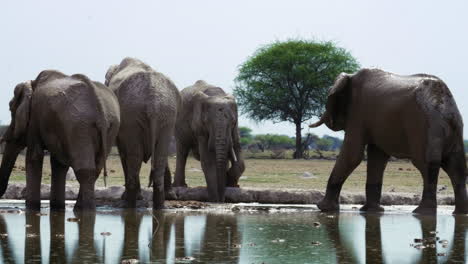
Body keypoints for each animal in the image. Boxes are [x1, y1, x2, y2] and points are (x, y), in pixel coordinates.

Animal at [0, 70, 120, 210]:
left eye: (10, 109)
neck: (31, 84)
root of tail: (100, 110)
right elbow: (58, 164)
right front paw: (57, 207)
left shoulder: (35, 119)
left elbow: (34, 158)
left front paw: (32, 208)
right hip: (109, 128)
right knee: (95, 169)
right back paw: (79, 209)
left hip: (77, 125)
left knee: (84, 170)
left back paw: (85, 209)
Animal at [106, 57, 181, 208]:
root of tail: (153, 103)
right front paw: (171, 196)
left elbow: (124, 153)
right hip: (166, 115)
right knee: (159, 156)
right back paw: (159, 206)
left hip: (132, 115)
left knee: (134, 156)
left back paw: (129, 202)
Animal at [310, 68, 468, 214]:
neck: (350, 76)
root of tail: (446, 107)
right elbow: (377, 157)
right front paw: (371, 211)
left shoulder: (358, 112)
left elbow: (352, 155)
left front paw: (324, 208)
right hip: (453, 128)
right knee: (456, 167)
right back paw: (459, 212)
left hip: (423, 126)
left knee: (427, 165)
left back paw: (421, 212)